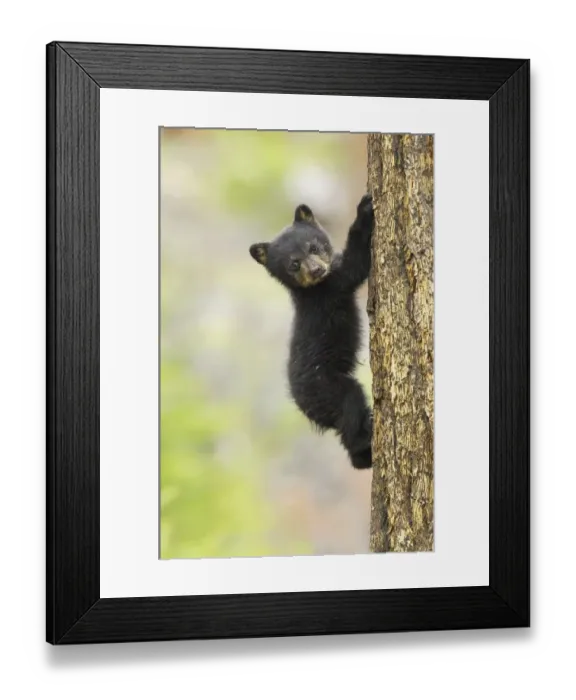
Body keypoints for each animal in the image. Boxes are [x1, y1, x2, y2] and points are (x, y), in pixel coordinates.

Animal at [249, 193, 374, 470]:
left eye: (313, 247)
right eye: (294, 264)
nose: (317, 270)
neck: (312, 288)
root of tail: (299, 402)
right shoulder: (332, 286)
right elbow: (356, 264)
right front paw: (365, 208)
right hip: (327, 387)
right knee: (350, 407)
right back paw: (365, 443)